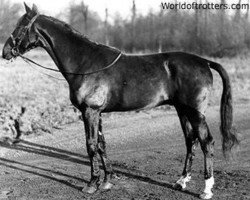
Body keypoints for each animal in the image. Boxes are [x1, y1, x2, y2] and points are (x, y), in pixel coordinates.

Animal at [2, 3, 238, 199]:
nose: (5, 52)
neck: (85, 63)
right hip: (182, 111)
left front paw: (92, 184)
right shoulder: (97, 113)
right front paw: (107, 181)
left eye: (21, 26)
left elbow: (91, 145)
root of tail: (205, 62)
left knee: (206, 142)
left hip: (195, 113)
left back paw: (206, 189)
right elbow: (102, 145)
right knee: (191, 141)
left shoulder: (90, 111)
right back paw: (181, 181)